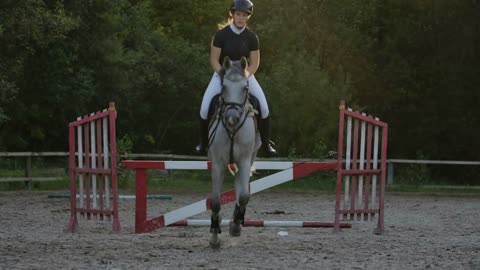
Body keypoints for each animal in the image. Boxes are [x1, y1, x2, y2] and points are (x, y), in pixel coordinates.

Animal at [206, 57, 258, 249]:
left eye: (245, 88)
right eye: (224, 87)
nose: (231, 118)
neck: (233, 129)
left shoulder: (244, 161)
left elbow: (243, 196)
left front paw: (235, 226)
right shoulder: (218, 164)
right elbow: (215, 201)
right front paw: (214, 236)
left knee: (239, 186)